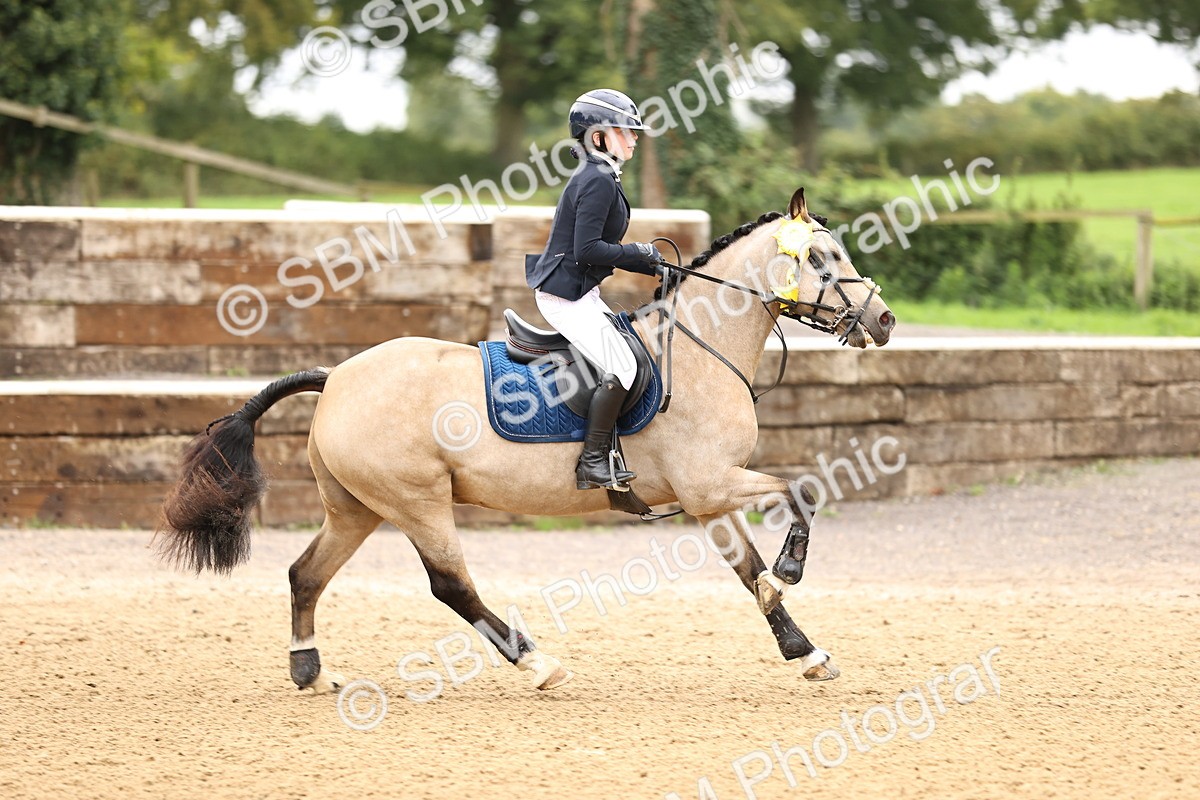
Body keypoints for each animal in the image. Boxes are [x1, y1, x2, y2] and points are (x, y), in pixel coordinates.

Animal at [156, 187, 895, 695]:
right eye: (823, 258)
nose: (884, 321)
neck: (703, 347)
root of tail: (337, 375)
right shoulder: (709, 483)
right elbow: (800, 492)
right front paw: (791, 571)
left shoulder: (709, 498)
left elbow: (749, 571)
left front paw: (804, 649)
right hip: (417, 501)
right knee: (451, 585)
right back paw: (537, 662)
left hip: (356, 507)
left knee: (306, 574)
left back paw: (310, 671)